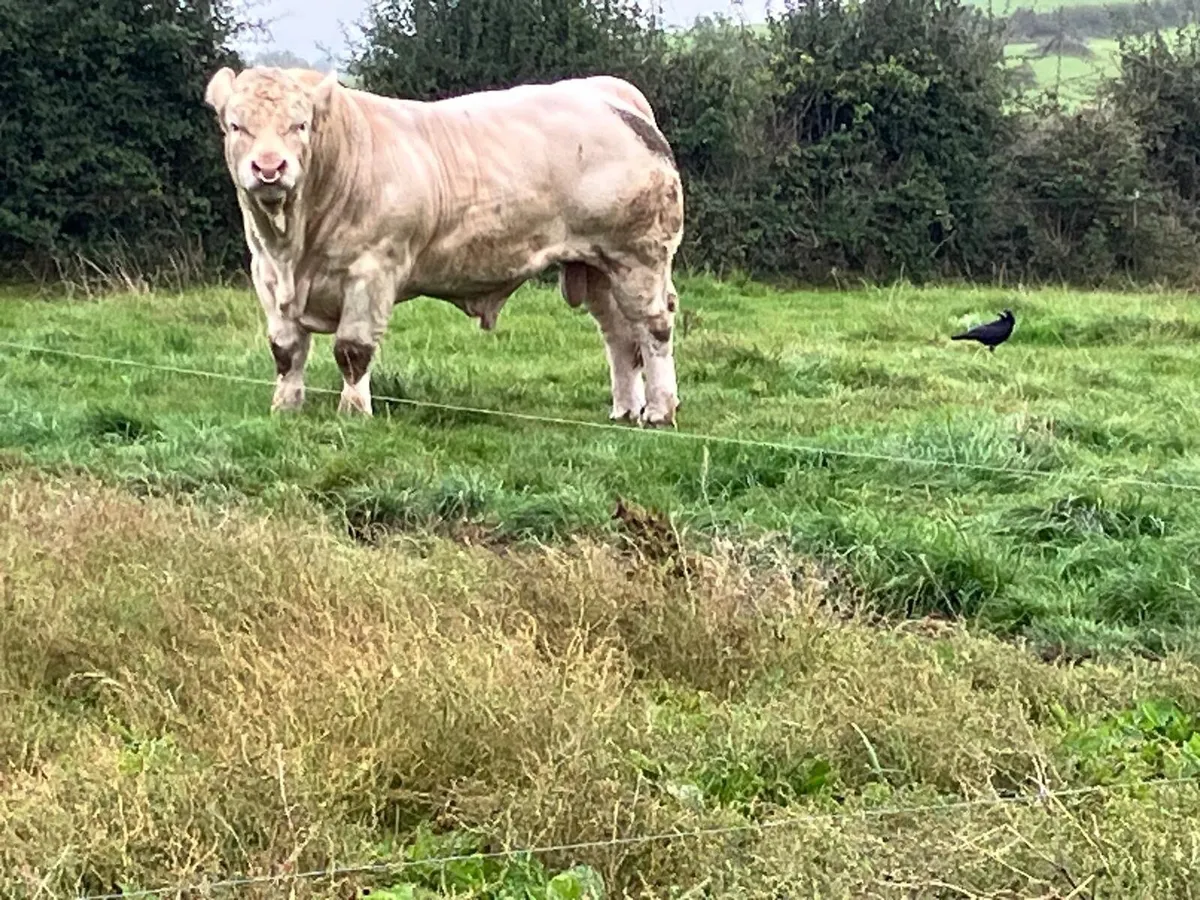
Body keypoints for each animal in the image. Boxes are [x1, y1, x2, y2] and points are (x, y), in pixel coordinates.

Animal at [202, 67, 684, 427]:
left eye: (299, 125)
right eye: (236, 126)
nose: (269, 167)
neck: (294, 249)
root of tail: (608, 93)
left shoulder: (371, 272)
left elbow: (352, 351)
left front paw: (353, 413)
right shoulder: (266, 276)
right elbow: (287, 352)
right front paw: (285, 408)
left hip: (639, 256)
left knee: (654, 328)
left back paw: (660, 411)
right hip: (600, 266)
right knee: (619, 335)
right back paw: (624, 409)